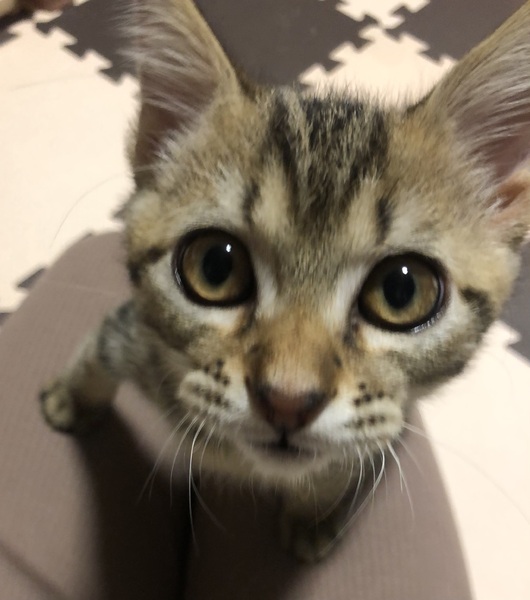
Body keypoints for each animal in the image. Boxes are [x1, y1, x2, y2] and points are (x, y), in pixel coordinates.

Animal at [40, 0, 530, 562]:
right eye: (215, 267)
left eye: (402, 291)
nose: (288, 401)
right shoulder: (135, 334)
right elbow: (100, 349)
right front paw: (73, 397)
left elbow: (343, 460)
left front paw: (312, 512)